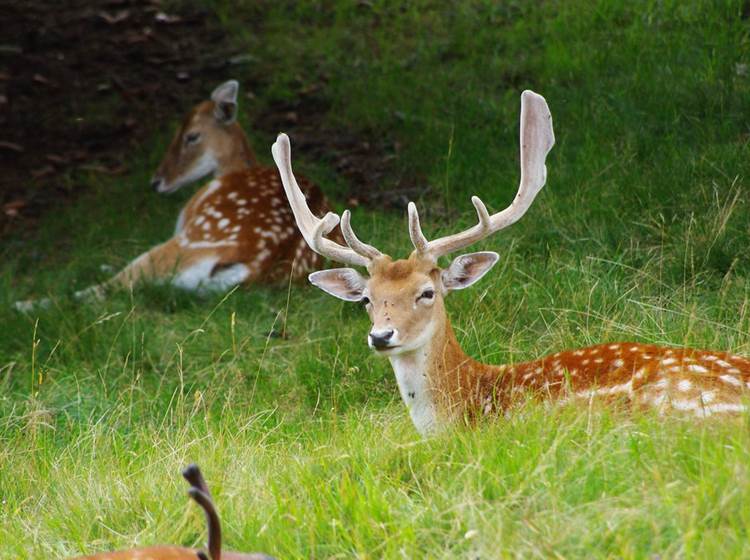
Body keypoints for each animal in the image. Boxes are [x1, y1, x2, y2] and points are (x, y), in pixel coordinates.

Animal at [13, 81, 332, 312]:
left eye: (191, 136)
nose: (157, 181)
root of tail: (256, 267)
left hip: (185, 244)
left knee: (112, 286)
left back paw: (25, 304)